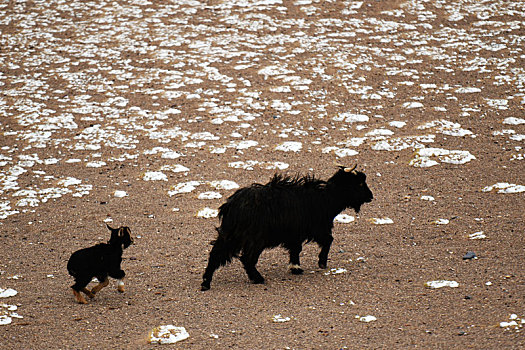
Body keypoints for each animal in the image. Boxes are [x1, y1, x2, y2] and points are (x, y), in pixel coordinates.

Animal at [201, 164, 372, 290]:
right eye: (359, 183)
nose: (370, 196)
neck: (326, 198)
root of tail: (231, 205)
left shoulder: (295, 234)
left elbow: (296, 250)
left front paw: (295, 267)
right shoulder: (317, 228)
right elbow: (328, 240)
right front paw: (321, 262)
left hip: (229, 234)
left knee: (216, 253)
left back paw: (206, 283)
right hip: (254, 238)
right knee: (247, 258)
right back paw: (258, 278)